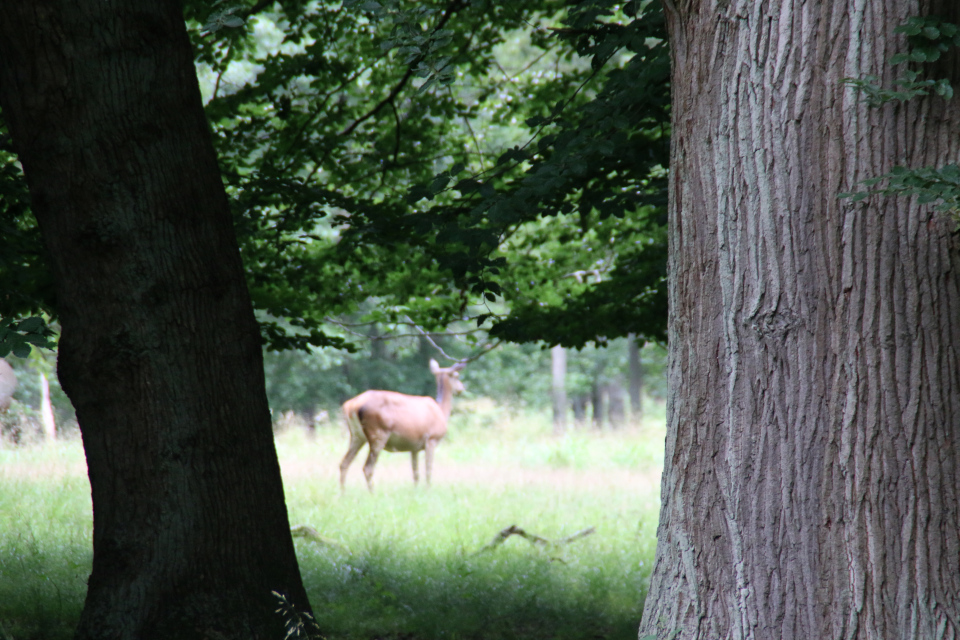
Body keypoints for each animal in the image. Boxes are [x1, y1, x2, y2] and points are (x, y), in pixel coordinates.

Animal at [340, 360, 466, 490]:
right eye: (457, 376)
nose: (462, 387)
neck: (442, 411)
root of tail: (351, 406)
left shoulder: (414, 447)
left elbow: (415, 473)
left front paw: (416, 490)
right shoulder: (431, 439)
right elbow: (428, 470)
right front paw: (428, 490)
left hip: (357, 435)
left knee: (344, 463)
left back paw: (343, 492)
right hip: (378, 433)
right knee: (368, 468)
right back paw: (372, 493)